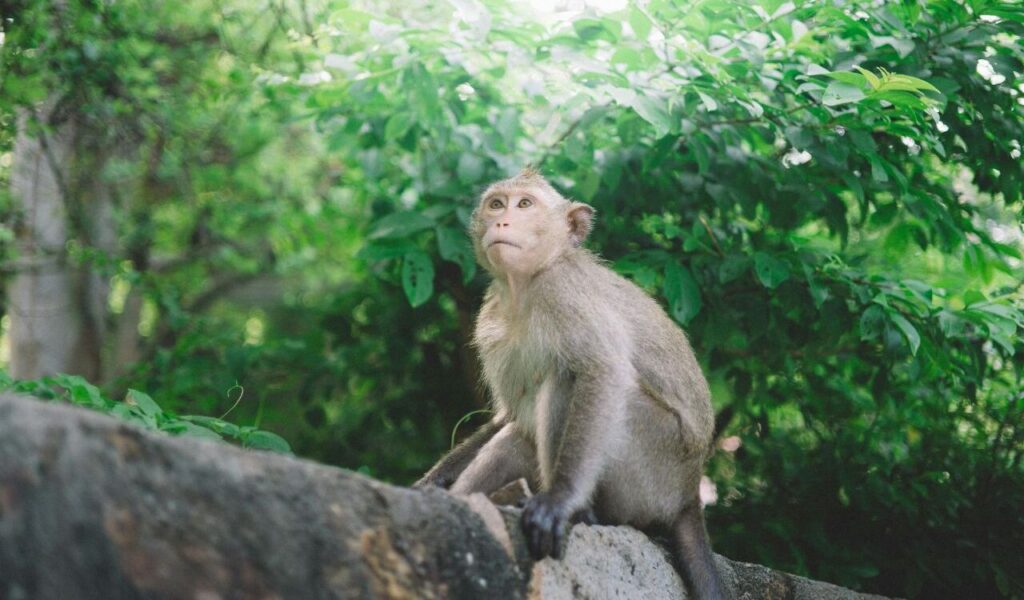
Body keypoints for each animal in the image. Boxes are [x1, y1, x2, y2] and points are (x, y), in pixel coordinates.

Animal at [415, 167, 727, 600]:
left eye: (525, 204)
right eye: (496, 203)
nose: (502, 221)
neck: (526, 286)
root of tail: (688, 495)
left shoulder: (563, 292)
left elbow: (602, 372)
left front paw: (559, 501)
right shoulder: (490, 320)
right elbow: (508, 415)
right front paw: (430, 484)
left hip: (653, 467)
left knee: (567, 381)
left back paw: (579, 512)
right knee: (518, 436)